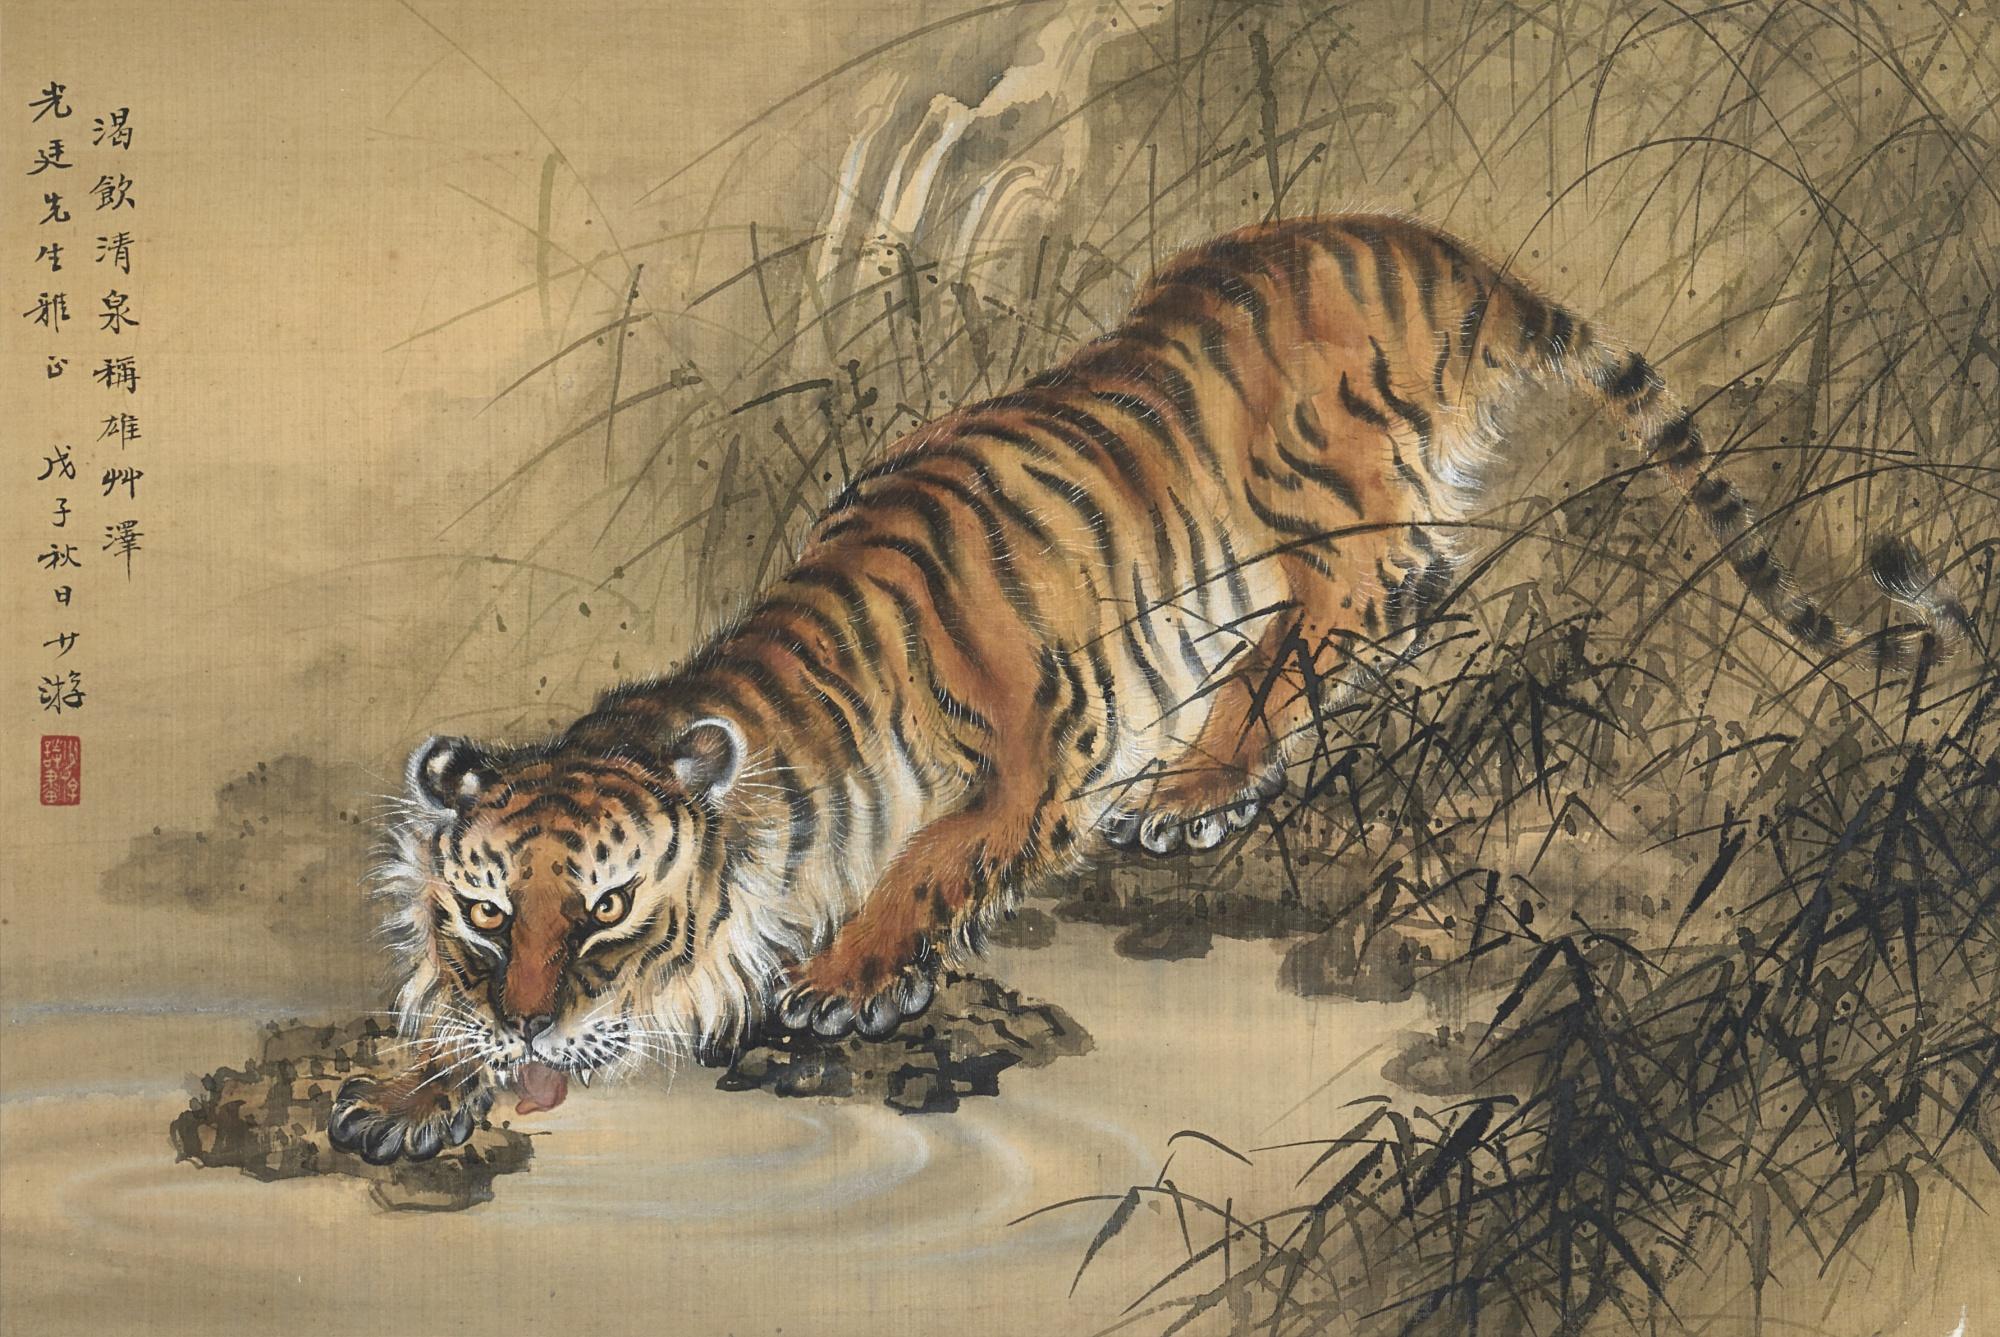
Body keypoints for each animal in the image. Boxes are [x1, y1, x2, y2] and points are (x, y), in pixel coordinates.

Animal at [330, 213, 1968, 1164]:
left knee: (1356, 609)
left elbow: (931, 862)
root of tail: (1426, 245)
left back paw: (1193, 786)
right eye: (489, 919)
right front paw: (414, 1085)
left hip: (1324, 501)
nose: (526, 1027)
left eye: (608, 913)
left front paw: (850, 978)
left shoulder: (1033, 749)